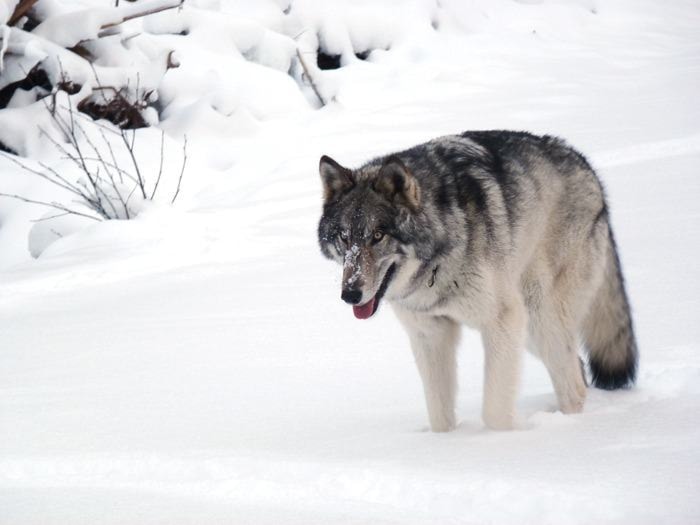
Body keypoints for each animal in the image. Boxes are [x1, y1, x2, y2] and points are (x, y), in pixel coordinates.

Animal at [320, 130, 636, 430]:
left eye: (378, 235)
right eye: (344, 237)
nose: (350, 294)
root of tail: (585, 163)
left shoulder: (501, 321)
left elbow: (495, 411)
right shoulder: (429, 334)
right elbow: (440, 417)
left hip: (537, 315)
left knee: (573, 384)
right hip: (530, 330)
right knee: (577, 368)